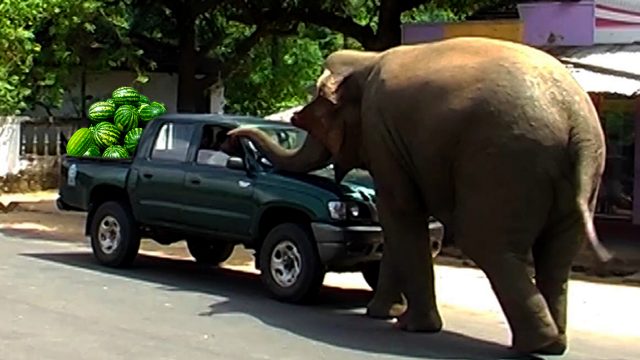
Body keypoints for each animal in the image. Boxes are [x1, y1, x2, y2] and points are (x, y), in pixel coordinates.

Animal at [229, 36, 608, 354]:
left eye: (312, 122)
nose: (230, 137)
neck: (367, 59)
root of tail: (574, 120)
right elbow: (398, 224)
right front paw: (381, 313)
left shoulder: (381, 131)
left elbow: (399, 213)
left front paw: (407, 324)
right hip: (574, 176)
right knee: (557, 254)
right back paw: (553, 345)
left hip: (505, 163)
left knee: (487, 243)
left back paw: (534, 345)